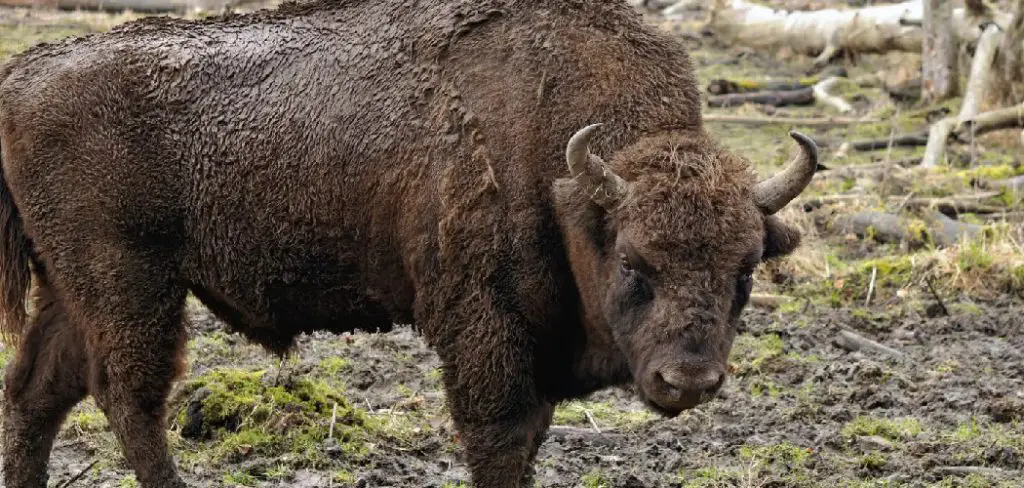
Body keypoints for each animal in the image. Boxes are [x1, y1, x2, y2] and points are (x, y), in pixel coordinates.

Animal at [0, 0, 818, 486]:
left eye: (746, 270)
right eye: (633, 261)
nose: (690, 380)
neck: (563, 173)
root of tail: (23, 75)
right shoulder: (485, 329)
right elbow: (498, 438)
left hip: (73, 287)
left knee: (38, 390)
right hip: (130, 283)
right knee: (127, 396)